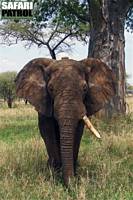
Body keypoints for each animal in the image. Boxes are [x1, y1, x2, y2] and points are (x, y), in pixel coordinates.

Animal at [15, 57, 115, 185]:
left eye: (85, 89)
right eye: (50, 88)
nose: (72, 183)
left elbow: (77, 133)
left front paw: (73, 173)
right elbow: (48, 132)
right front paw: (55, 174)